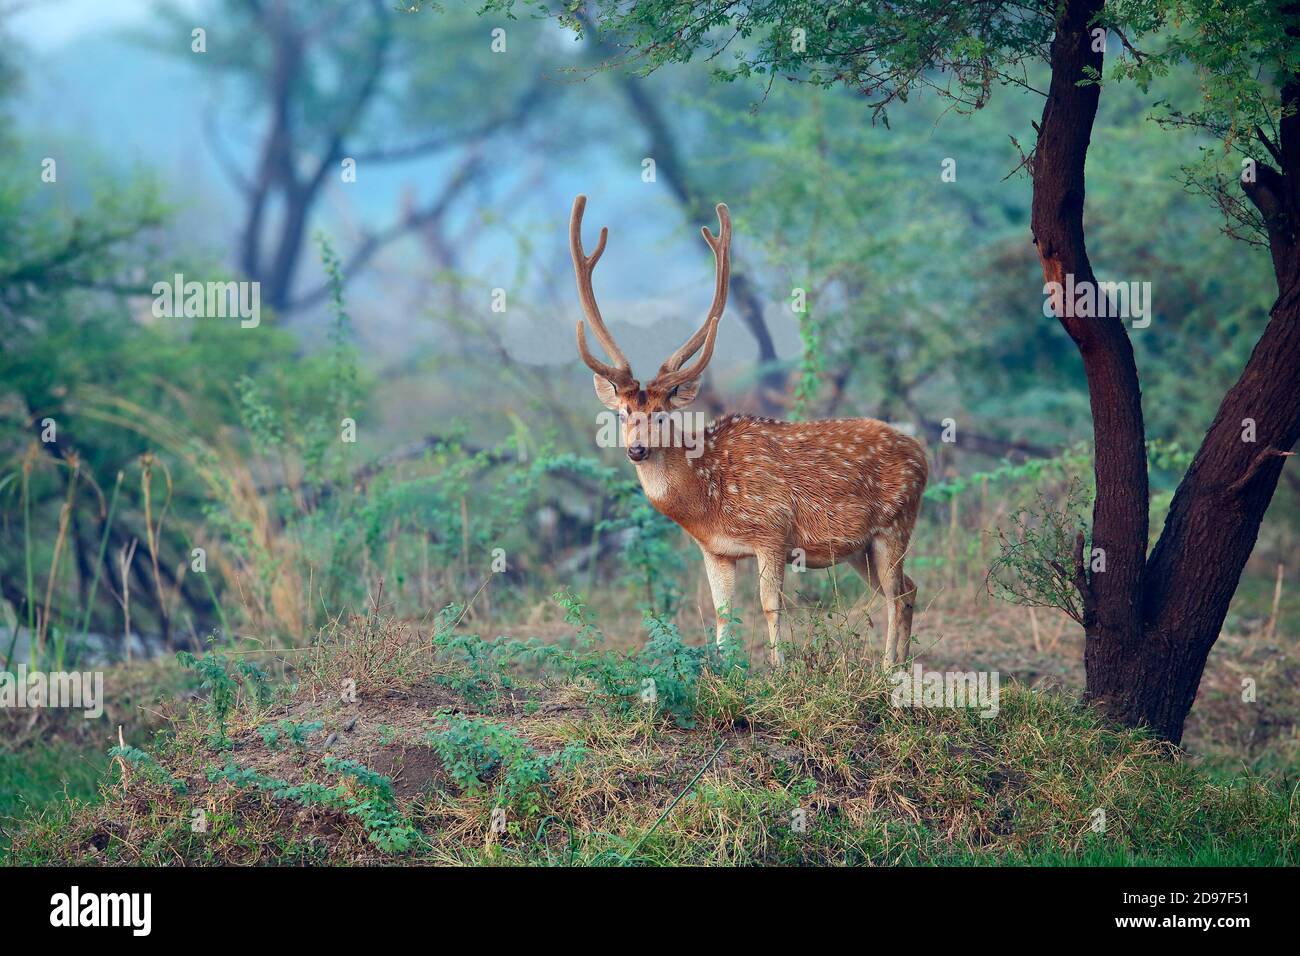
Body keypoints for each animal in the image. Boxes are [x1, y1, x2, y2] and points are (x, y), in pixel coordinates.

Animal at [569, 195, 927, 667]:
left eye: (662, 414)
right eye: (624, 414)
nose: (637, 450)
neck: (708, 499)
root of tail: (924, 455)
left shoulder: (773, 530)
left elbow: (769, 605)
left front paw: (777, 670)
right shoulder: (715, 550)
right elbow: (723, 612)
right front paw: (725, 671)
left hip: (895, 523)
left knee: (897, 594)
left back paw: (888, 669)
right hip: (859, 546)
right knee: (907, 589)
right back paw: (898, 665)